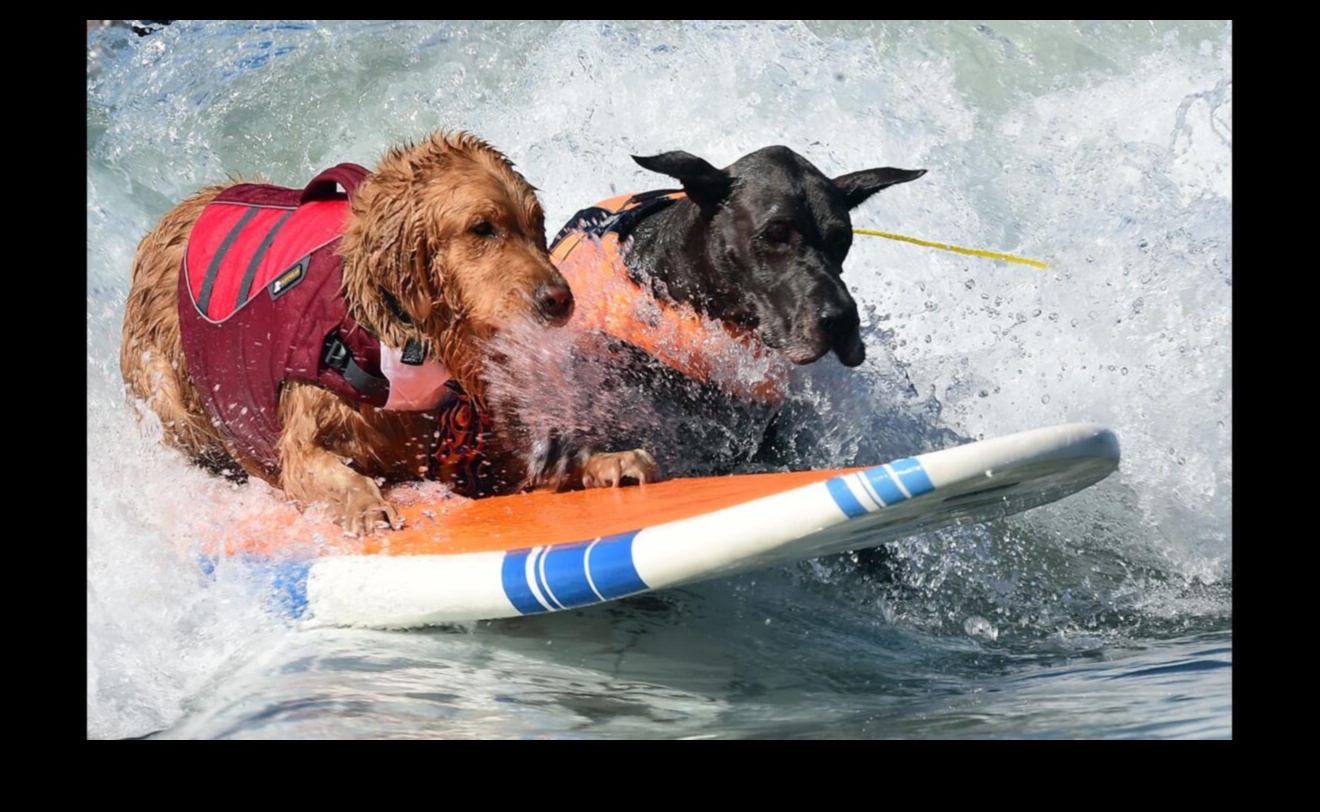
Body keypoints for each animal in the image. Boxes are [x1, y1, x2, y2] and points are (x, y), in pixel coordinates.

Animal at [121, 130, 657, 536]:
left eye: (536, 226)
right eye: (482, 228)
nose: (560, 299)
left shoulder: (472, 450)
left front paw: (606, 460)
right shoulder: (305, 431)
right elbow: (322, 468)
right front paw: (367, 506)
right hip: (168, 392)